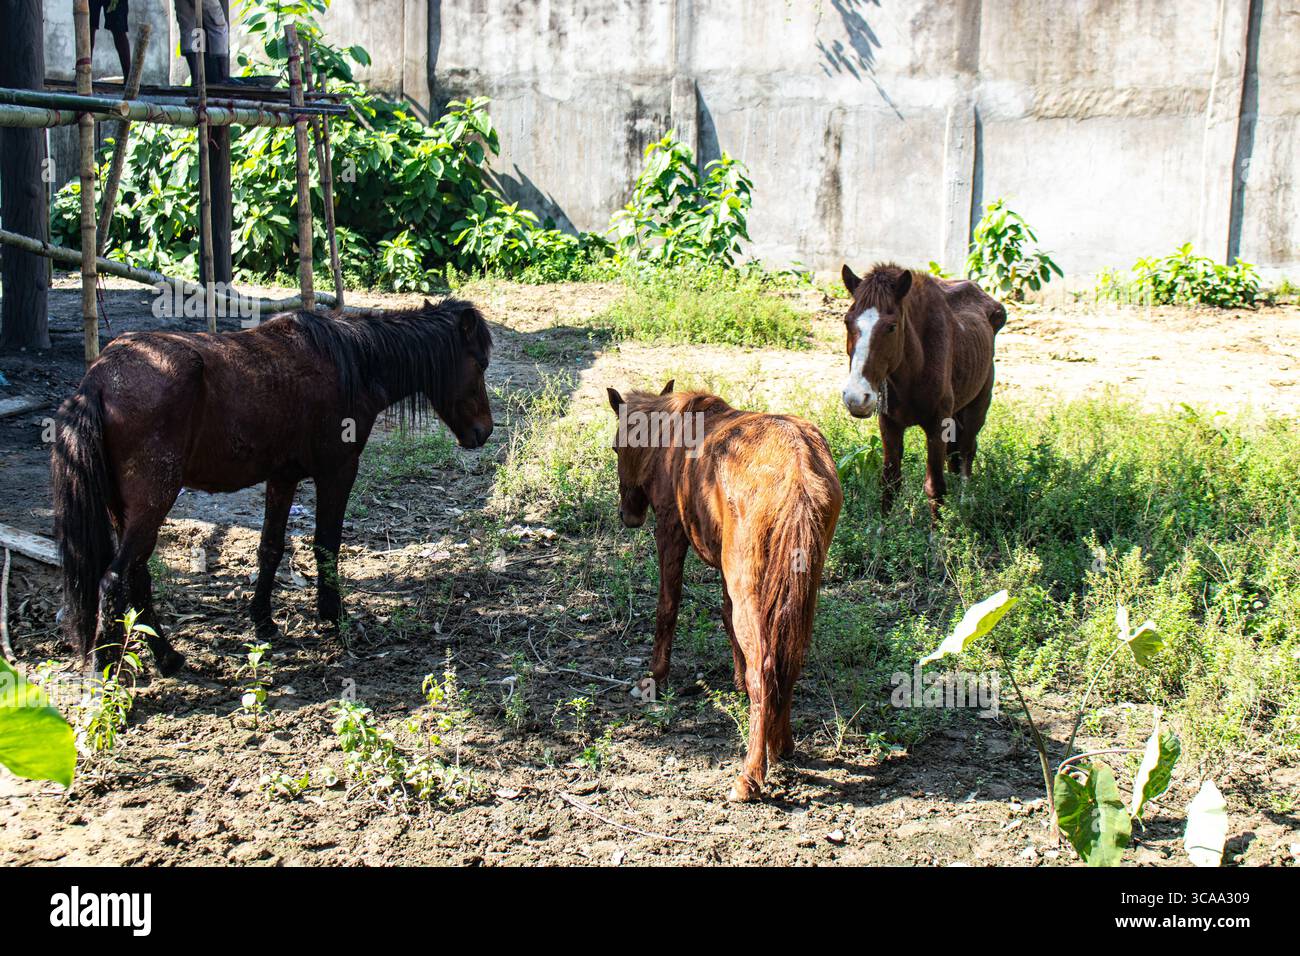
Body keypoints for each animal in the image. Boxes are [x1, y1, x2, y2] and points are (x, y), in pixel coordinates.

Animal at [52, 298, 494, 674]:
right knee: (114, 579)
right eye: (480, 363)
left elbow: (270, 548)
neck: (353, 363)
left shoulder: (282, 478)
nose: (484, 432)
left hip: (126, 509)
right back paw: (103, 669)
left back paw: (168, 656)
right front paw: (334, 616)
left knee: (138, 576)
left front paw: (263, 621)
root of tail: (98, 379)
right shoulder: (338, 471)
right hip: (152, 502)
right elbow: (326, 545)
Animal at [606, 381, 842, 801]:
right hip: (800, 584)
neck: (671, 436)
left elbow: (668, 606)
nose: (628, 515)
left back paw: (750, 775)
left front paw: (656, 675)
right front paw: (734, 679)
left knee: (764, 667)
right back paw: (781, 746)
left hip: (749, 577)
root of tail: (799, 471)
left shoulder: (670, 531)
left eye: (619, 447)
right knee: (789, 655)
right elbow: (726, 617)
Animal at [839, 263, 1006, 518]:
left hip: (978, 405)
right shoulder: (889, 424)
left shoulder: (938, 426)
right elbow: (890, 482)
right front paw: (883, 528)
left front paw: (939, 529)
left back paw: (965, 502)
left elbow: (935, 487)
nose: (856, 398)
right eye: (847, 321)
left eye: (892, 327)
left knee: (967, 452)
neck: (912, 371)